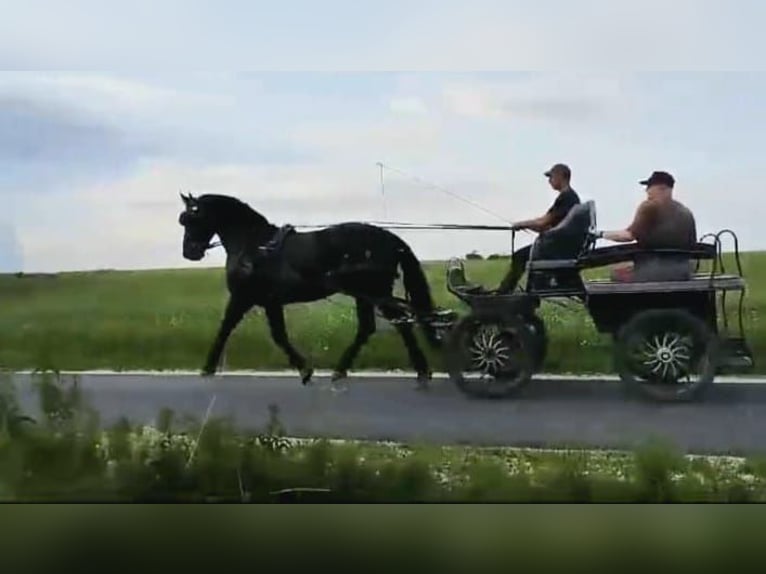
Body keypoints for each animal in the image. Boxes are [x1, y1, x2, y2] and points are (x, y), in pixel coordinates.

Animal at [178, 194, 444, 388]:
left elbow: (230, 329)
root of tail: (389, 238)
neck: (255, 246)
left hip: (374, 291)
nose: (189, 252)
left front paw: (208, 367)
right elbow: (273, 334)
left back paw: (420, 371)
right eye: (184, 219)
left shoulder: (246, 297)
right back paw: (341, 370)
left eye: (193, 218)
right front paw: (304, 369)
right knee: (370, 327)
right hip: (364, 293)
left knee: (400, 323)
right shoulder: (267, 301)